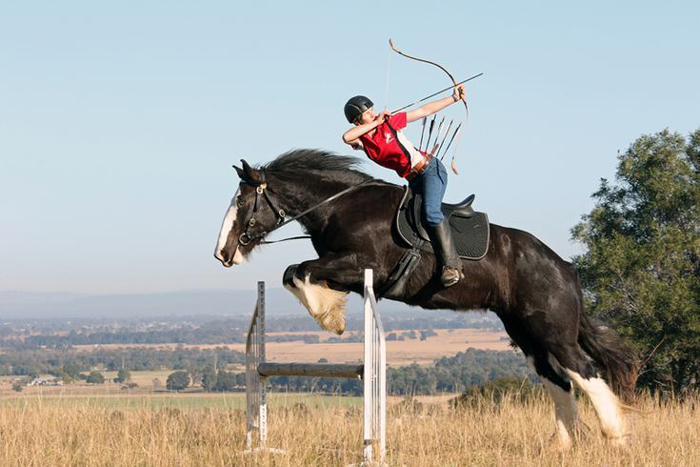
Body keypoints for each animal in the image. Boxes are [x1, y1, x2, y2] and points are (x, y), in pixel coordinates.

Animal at [216, 150, 636, 450]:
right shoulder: (345, 270)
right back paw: (561, 446)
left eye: (243, 202)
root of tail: (564, 267)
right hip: (525, 332)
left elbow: (298, 269)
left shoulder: (362, 265)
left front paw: (330, 318)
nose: (223, 253)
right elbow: (295, 272)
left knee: (585, 371)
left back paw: (616, 437)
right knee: (558, 380)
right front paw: (331, 312)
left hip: (552, 329)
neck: (339, 205)